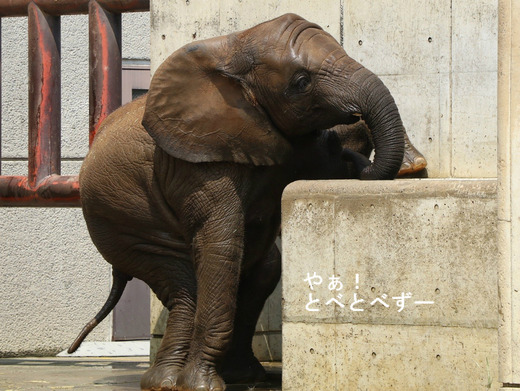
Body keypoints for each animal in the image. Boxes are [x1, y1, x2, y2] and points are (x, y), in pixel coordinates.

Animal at [69, 13, 424, 390]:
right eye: (301, 82)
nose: (413, 167)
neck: (234, 47)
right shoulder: (197, 161)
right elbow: (221, 244)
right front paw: (203, 386)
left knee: (262, 269)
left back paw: (242, 376)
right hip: (124, 226)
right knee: (184, 286)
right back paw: (167, 382)